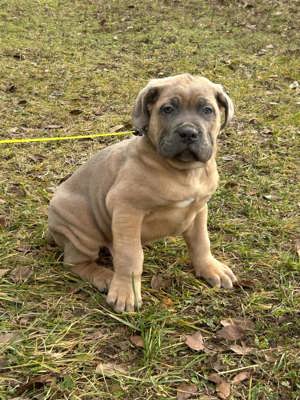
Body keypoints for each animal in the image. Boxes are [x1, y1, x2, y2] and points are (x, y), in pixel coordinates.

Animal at [48, 75, 237, 312]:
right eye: (167, 109)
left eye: (207, 110)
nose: (188, 133)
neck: (184, 172)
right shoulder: (126, 209)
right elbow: (131, 256)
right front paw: (125, 291)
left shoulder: (199, 209)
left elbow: (201, 242)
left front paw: (210, 268)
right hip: (82, 227)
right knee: (76, 262)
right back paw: (105, 277)